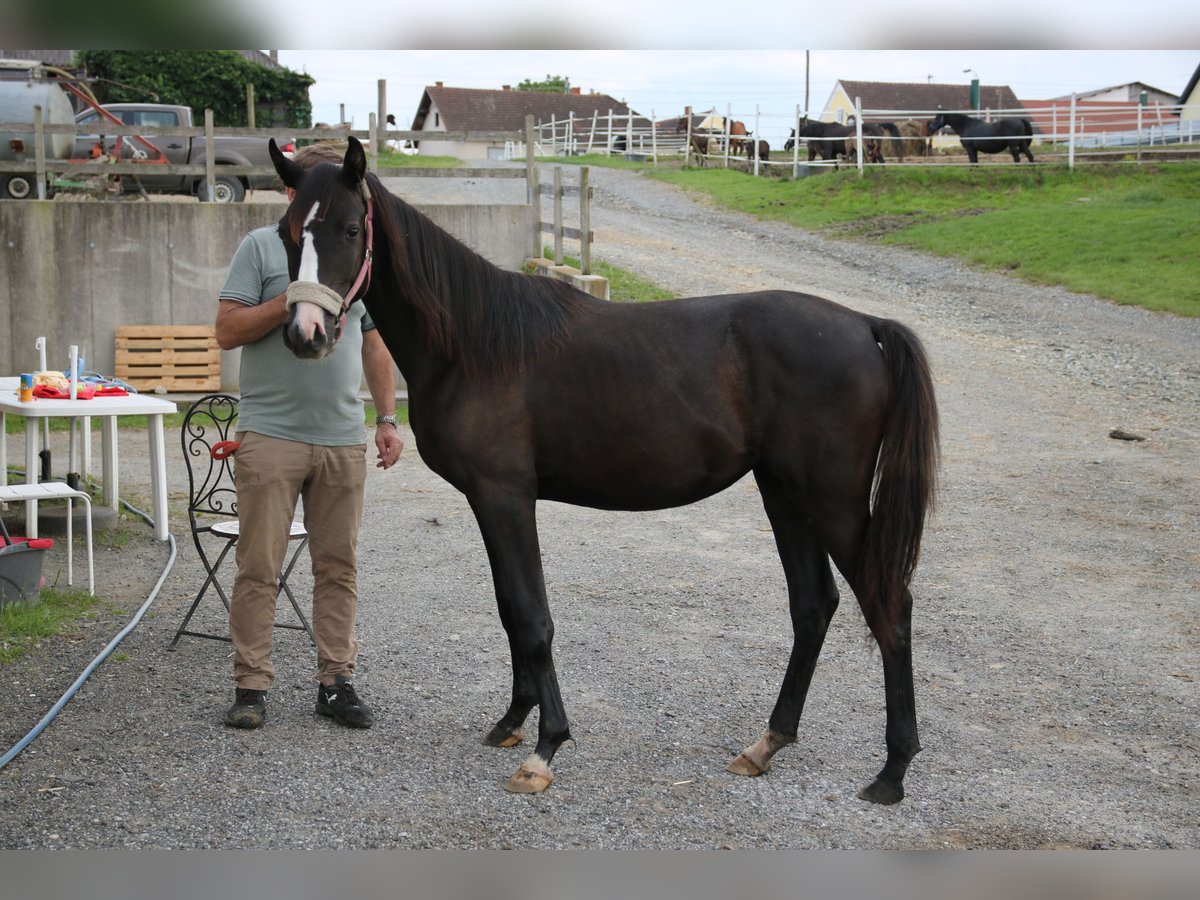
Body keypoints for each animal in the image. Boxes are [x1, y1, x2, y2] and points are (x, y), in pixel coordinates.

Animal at [267, 137, 940, 806]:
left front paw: (545, 748)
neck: (472, 343)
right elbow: (508, 608)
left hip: (833, 504)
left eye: (352, 229)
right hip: (785, 495)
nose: (305, 334)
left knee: (888, 605)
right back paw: (766, 744)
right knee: (813, 605)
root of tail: (865, 326)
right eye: (286, 231)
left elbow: (532, 616)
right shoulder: (490, 502)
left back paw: (892, 770)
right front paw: (512, 721)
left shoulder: (506, 497)